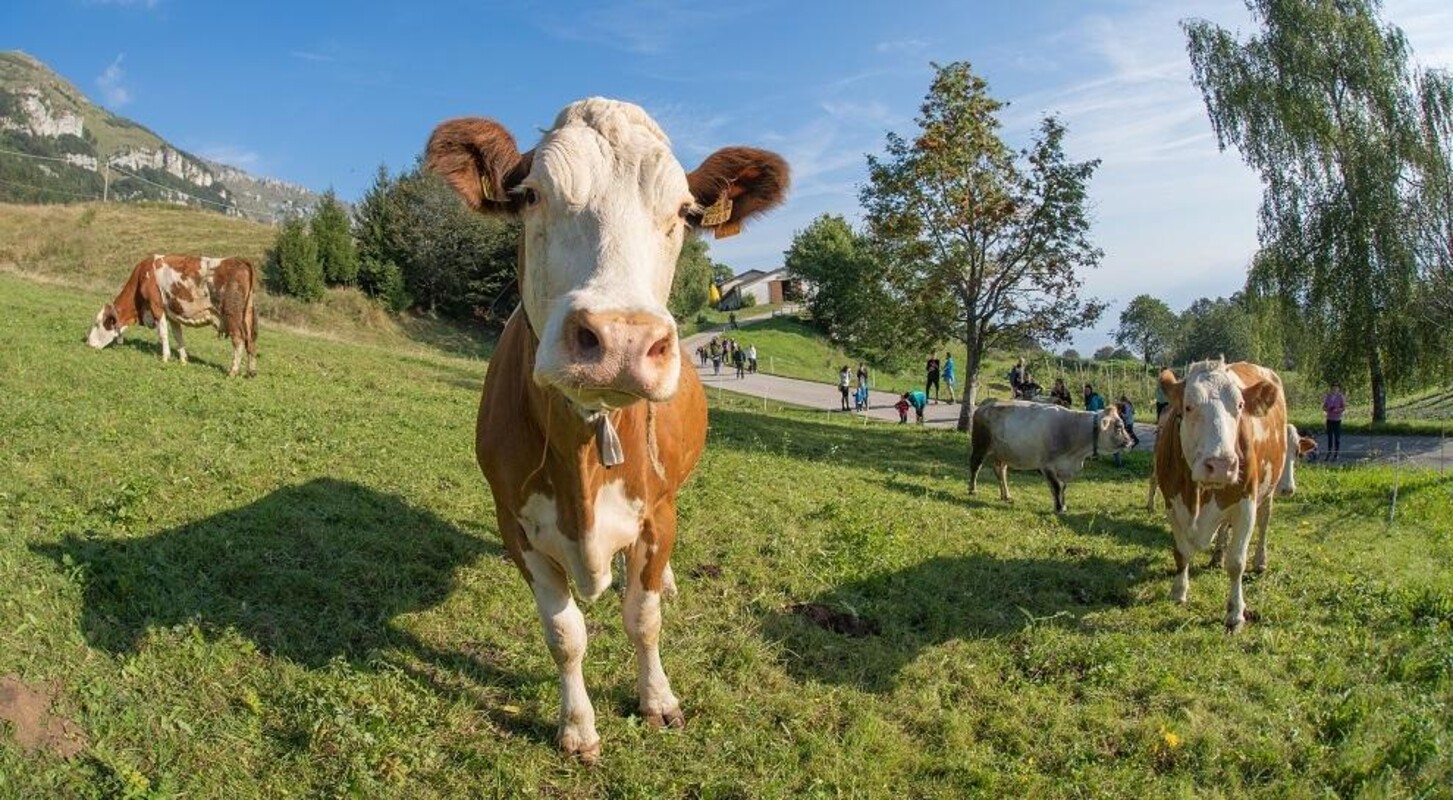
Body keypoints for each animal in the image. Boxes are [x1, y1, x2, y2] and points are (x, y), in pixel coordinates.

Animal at [85, 254, 258, 377]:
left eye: (98, 323)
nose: (88, 343)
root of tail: (240, 260)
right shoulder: (173, 314)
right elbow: (178, 336)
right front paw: (183, 360)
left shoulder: (157, 306)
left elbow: (163, 334)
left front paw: (165, 358)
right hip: (247, 314)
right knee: (250, 340)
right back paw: (251, 372)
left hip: (232, 315)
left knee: (238, 339)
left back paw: (233, 371)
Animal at [424, 98, 787, 763]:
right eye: (532, 195)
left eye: (684, 213)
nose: (622, 339)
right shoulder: (515, 525)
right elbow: (564, 633)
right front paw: (577, 727)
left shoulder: (656, 514)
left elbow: (642, 618)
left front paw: (658, 699)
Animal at [969, 399, 1133, 513]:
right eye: (1119, 427)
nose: (1130, 441)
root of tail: (983, 406)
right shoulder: (1047, 465)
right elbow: (1056, 486)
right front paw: (1059, 508)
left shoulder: (1064, 468)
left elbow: (1062, 488)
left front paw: (1062, 505)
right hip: (980, 445)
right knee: (975, 466)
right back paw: (972, 490)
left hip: (1003, 453)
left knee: (1001, 472)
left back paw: (1006, 495)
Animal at [1154, 359, 1290, 632]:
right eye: (1188, 406)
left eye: (1239, 406)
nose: (1221, 465)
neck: (1197, 493)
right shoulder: (1171, 503)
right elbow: (1181, 552)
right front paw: (1179, 591)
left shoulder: (1246, 506)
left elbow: (1236, 563)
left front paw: (1235, 613)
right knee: (1223, 529)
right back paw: (1217, 555)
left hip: (1268, 490)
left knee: (1264, 523)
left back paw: (1260, 560)